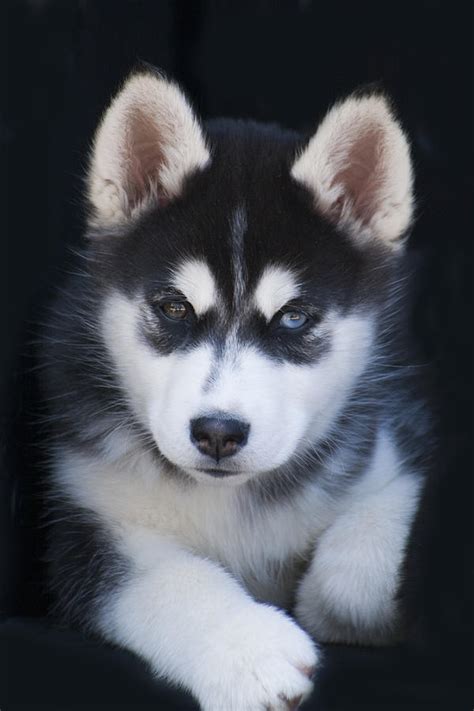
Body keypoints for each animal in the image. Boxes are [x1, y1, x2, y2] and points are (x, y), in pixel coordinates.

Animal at [42, 68, 432, 711]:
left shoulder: (391, 443)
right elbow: (166, 577)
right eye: (175, 308)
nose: (218, 432)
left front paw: (331, 603)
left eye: (294, 318)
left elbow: (361, 556)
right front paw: (250, 652)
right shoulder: (78, 520)